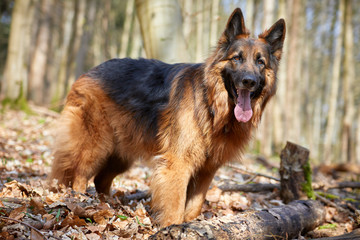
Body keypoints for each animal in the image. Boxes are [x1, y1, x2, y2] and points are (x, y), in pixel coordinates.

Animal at [50, 8, 286, 226]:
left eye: (260, 62)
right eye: (237, 58)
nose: (249, 81)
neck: (211, 105)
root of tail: (88, 72)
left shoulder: (207, 170)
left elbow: (194, 205)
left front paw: (188, 224)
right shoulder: (178, 163)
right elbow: (175, 203)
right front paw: (171, 227)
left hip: (121, 155)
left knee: (100, 179)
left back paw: (107, 204)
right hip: (97, 144)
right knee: (80, 173)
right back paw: (82, 201)